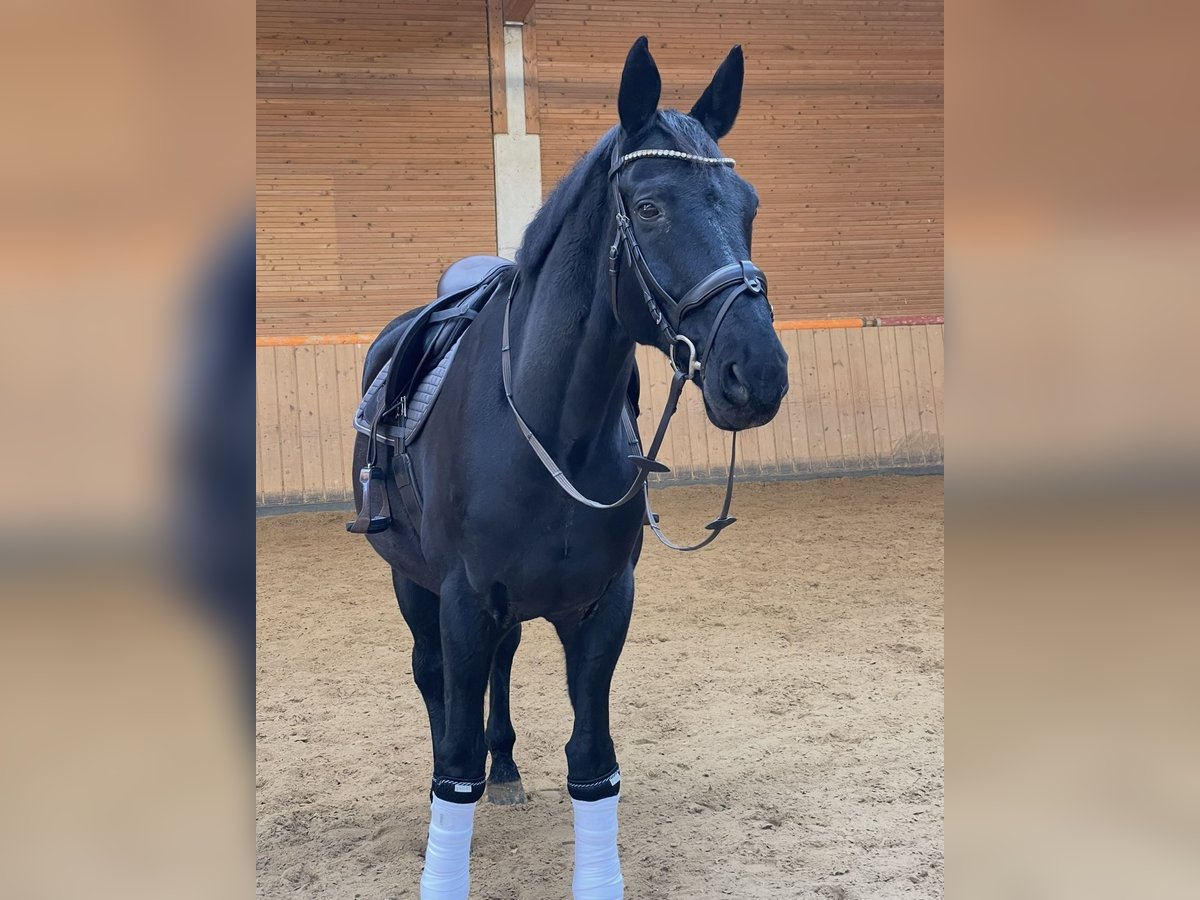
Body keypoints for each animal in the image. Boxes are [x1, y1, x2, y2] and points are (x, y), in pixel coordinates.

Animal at [349, 36, 788, 899]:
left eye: (748, 205)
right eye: (649, 207)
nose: (757, 373)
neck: (549, 424)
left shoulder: (600, 605)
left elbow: (593, 763)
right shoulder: (461, 600)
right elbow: (452, 766)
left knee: (500, 668)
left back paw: (508, 769)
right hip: (411, 583)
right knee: (432, 679)